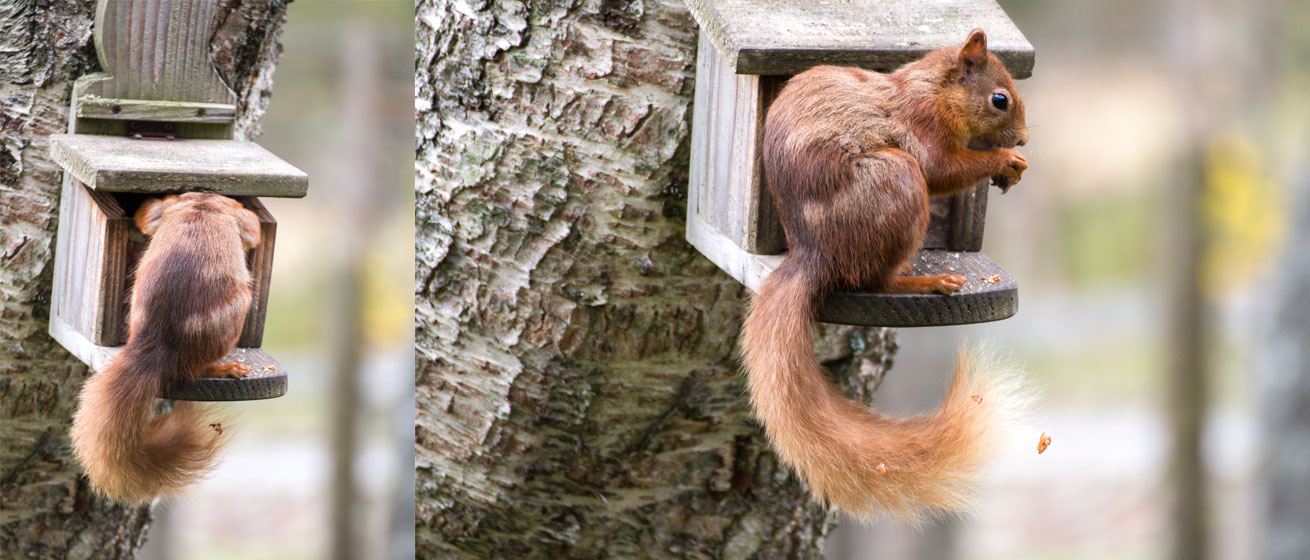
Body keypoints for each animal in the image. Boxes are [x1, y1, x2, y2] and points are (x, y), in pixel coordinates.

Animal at [70, 192, 261, 504]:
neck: (204, 203)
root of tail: (156, 342)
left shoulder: (167, 208)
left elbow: (147, 215)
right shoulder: (234, 219)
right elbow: (252, 229)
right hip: (237, 309)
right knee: (196, 370)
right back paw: (226, 367)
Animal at [740, 29, 1031, 520]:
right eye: (999, 100)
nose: (1026, 140)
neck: (933, 92)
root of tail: (816, 253)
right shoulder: (922, 129)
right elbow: (943, 169)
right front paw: (1004, 160)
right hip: (898, 180)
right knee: (875, 282)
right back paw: (926, 282)